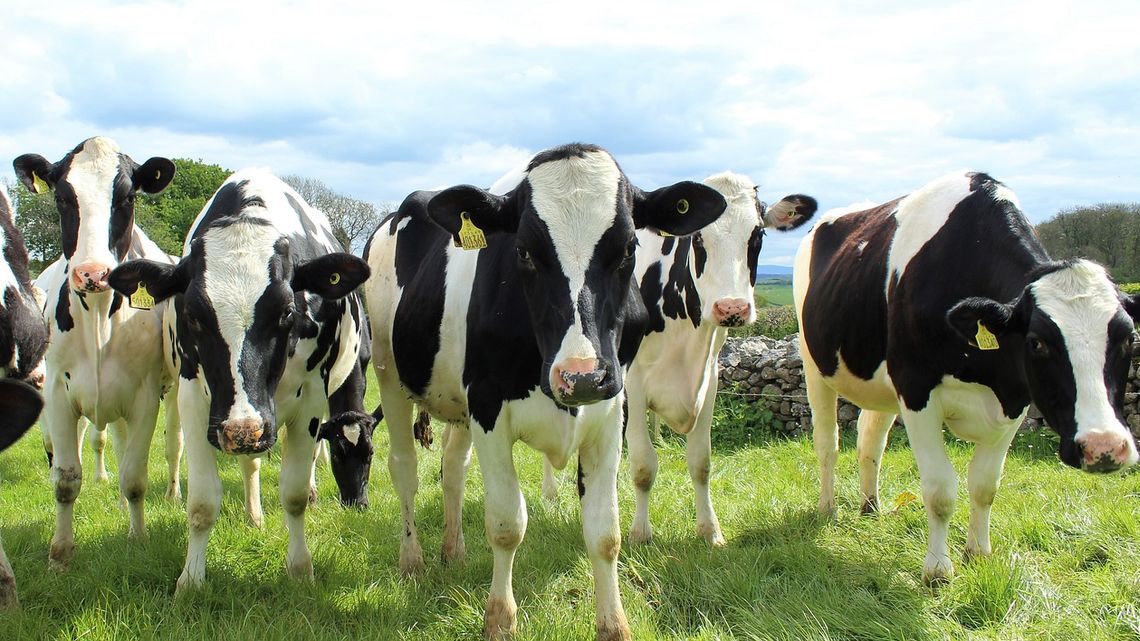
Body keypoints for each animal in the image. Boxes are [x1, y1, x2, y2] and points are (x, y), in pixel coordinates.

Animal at [12, 135, 181, 568]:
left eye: (127, 197)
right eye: (62, 198)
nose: (92, 273)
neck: (100, 318)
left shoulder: (145, 396)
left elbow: (136, 476)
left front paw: (138, 538)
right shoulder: (57, 391)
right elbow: (66, 477)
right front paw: (60, 553)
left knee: (172, 444)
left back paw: (170, 492)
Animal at [107, 167, 369, 593]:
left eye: (286, 311)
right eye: (193, 315)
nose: (241, 429)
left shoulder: (312, 401)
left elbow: (294, 493)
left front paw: (301, 570)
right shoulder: (197, 401)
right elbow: (201, 502)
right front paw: (190, 579)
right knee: (250, 463)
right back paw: (253, 514)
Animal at [360, 144, 725, 638]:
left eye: (629, 248)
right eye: (524, 252)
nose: (581, 376)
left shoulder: (612, 410)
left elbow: (604, 531)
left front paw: (613, 624)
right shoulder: (489, 409)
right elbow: (506, 522)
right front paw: (500, 618)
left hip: (456, 401)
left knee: (453, 469)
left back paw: (453, 551)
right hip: (388, 372)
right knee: (405, 470)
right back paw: (412, 560)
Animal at [624, 173, 820, 542]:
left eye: (757, 234)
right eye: (697, 237)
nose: (732, 308)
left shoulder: (710, 378)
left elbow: (701, 461)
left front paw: (709, 530)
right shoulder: (634, 381)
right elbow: (643, 465)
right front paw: (640, 534)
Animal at [793, 171, 1140, 583]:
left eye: (1129, 338)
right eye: (1037, 342)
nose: (1104, 447)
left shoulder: (1015, 399)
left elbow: (985, 485)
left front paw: (979, 553)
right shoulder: (916, 390)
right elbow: (940, 489)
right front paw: (938, 570)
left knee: (870, 440)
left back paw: (870, 507)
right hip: (815, 365)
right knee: (828, 444)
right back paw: (828, 508)